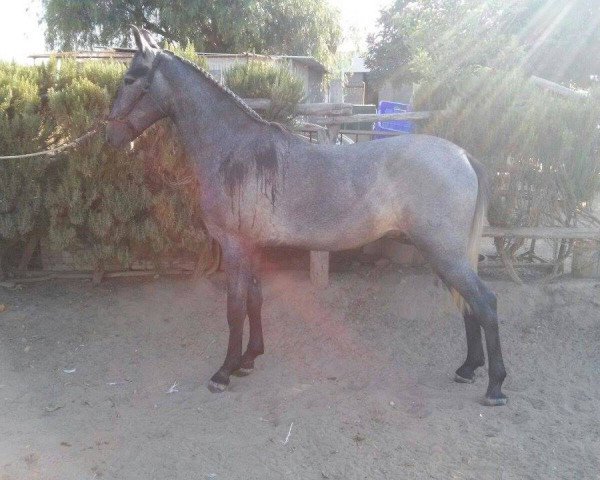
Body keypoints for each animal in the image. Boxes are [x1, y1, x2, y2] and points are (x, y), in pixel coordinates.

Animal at [106, 28, 506, 406]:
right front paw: (249, 359)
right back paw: (467, 369)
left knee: (485, 302)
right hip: (444, 255)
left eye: (129, 79)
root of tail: (462, 155)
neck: (235, 150)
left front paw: (223, 372)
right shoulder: (251, 247)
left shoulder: (234, 246)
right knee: (469, 302)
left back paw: (495, 387)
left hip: (444, 252)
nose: (111, 136)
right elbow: (254, 299)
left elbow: (234, 308)